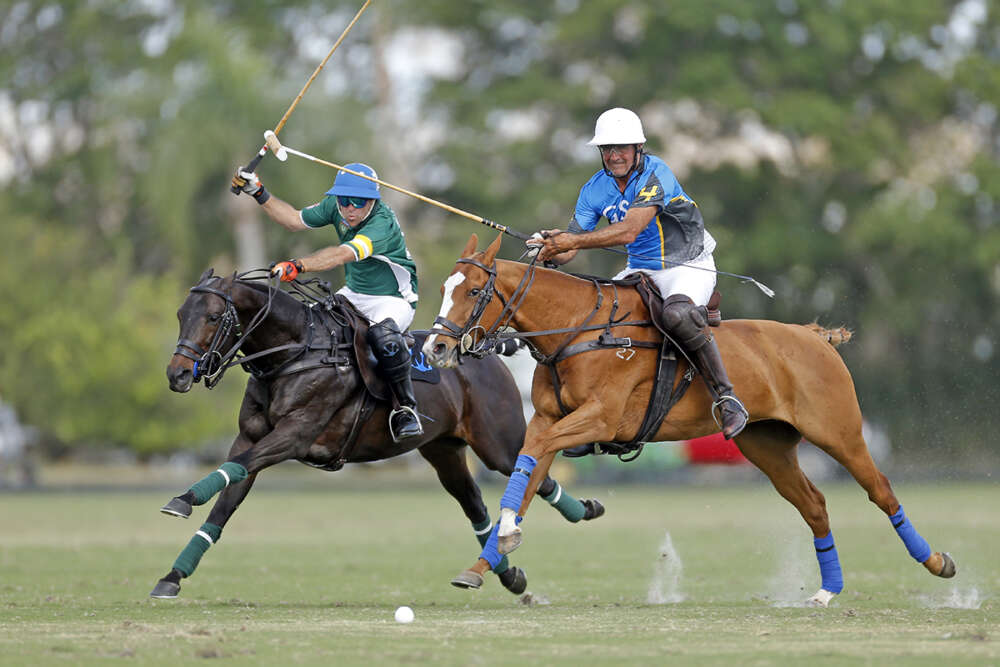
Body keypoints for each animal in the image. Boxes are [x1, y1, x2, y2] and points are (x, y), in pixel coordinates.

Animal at [148, 270, 600, 600]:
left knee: (534, 472)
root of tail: (478, 350)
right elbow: (226, 497)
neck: (294, 353)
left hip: (496, 443)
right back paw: (508, 576)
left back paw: (586, 510)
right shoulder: (251, 437)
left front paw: (182, 500)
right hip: (444, 452)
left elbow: (236, 468)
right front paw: (172, 576)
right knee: (476, 506)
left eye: (212, 317)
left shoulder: (295, 434)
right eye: (179, 314)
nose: (177, 375)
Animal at [422, 235, 952, 604]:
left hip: (839, 431)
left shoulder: (601, 419)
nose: (436, 348)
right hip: (767, 444)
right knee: (814, 504)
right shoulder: (548, 418)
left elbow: (533, 457)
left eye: (474, 290)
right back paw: (827, 591)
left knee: (880, 489)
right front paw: (485, 562)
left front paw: (508, 535)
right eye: (446, 288)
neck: (577, 331)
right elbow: (527, 472)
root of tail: (812, 335)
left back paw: (937, 562)